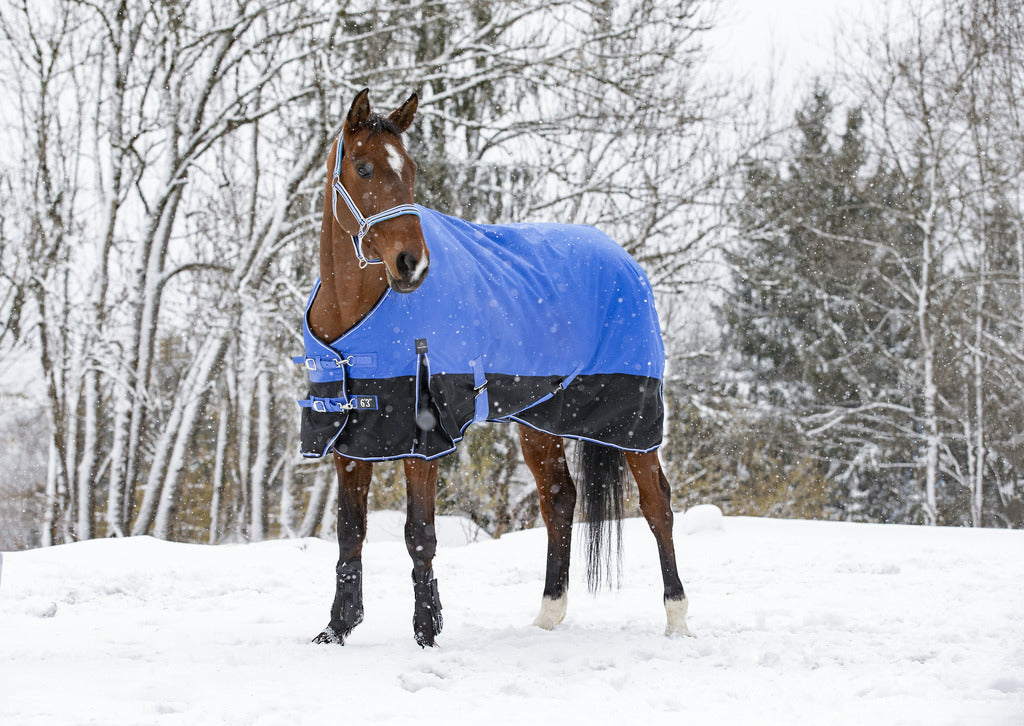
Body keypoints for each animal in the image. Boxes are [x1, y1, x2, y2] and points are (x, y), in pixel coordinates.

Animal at [296, 89, 692, 647]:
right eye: (364, 167)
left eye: (411, 170)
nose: (412, 264)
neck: (353, 316)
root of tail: (627, 262)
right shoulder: (349, 436)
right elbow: (349, 531)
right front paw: (337, 627)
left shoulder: (423, 435)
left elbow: (419, 533)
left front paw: (427, 632)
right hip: (540, 420)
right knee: (559, 501)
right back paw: (548, 614)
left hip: (631, 416)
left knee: (658, 505)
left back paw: (677, 619)